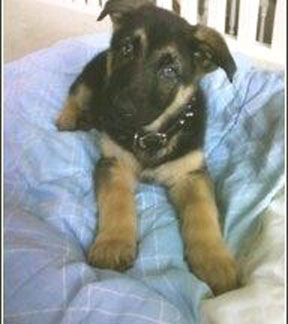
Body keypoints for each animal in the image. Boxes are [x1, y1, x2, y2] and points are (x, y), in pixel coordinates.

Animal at [55, 0, 238, 294]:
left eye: (169, 71)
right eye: (127, 49)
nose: (115, 110)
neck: (151, 135)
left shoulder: (191, 173)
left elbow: (202, 211)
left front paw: (215, 260)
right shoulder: (114, 163)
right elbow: (117, 200)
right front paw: (114, 242)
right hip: (90, 80)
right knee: (74, 94)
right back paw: (69, 118)